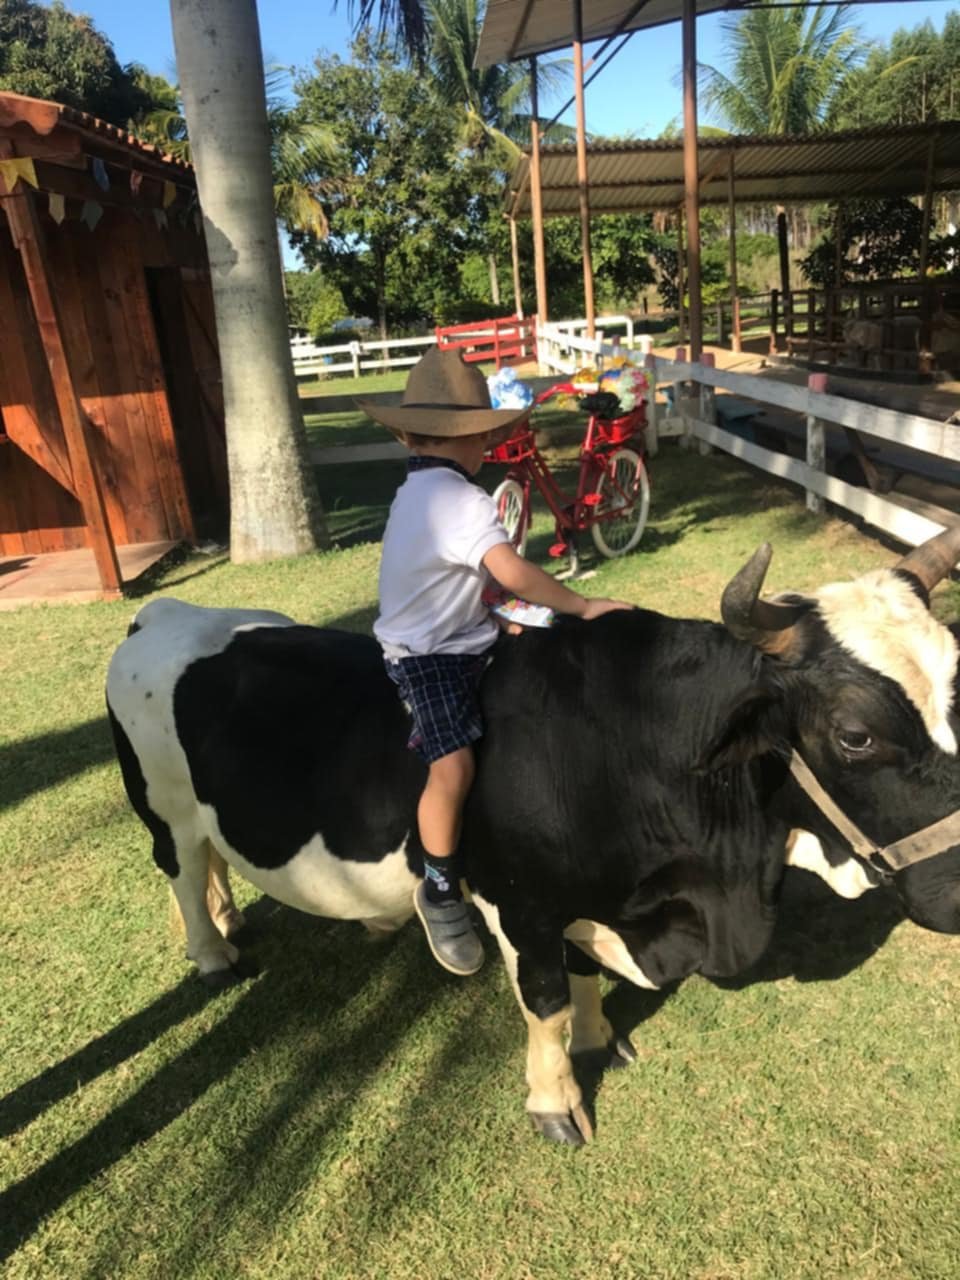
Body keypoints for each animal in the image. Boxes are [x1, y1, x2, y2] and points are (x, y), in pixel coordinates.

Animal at [106, 529, 960, 1146]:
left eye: (957, 688)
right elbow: (545, 996)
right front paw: (555, 1100)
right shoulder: (519, 903)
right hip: (161, 805)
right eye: (853, 733)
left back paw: (236, 918)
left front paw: (598, 1038)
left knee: (211, 863)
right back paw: (213, 953)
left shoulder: (588, 899)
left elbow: (581, 978)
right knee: (178, 867)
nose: (955, 887)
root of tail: (168, 613)